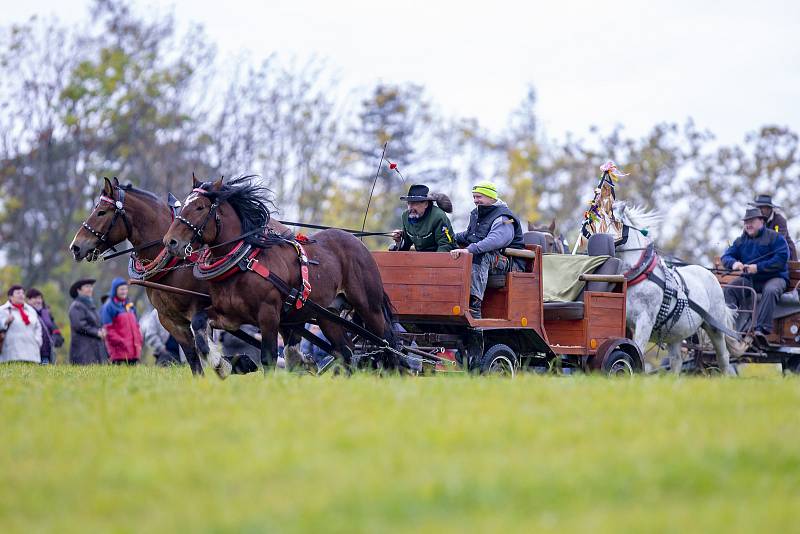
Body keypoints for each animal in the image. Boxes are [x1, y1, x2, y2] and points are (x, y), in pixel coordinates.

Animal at [69, 177, 294, 376]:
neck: (175, 265)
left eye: (101, 212)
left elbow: (204, 346)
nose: (76, 247)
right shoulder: (170, 319)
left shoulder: (201, 309)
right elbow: (193, 356)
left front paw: (234, 363)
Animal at [162, 177, 400, 376]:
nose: (170, 242)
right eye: (183, 205)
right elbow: (198, 323)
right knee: (346, 352)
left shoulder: (269, 315)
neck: (245, 261)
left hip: (369, 307)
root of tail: (358, 244)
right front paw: (220, 362)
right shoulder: (229, 315)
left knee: (388, 342)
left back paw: (397, 372)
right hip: (327, 315)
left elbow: (268, 358)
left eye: (200, 207)